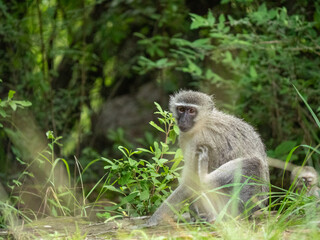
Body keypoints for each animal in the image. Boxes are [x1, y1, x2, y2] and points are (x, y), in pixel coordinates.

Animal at [146, 90, 268, 227]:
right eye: (181, 109)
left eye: (191, 111)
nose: (183, 121)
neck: (202, 123)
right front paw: (194, 214)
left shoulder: (200, 140)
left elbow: (190, 182)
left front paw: (152, 220)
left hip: (238, 201)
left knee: (253, 163)